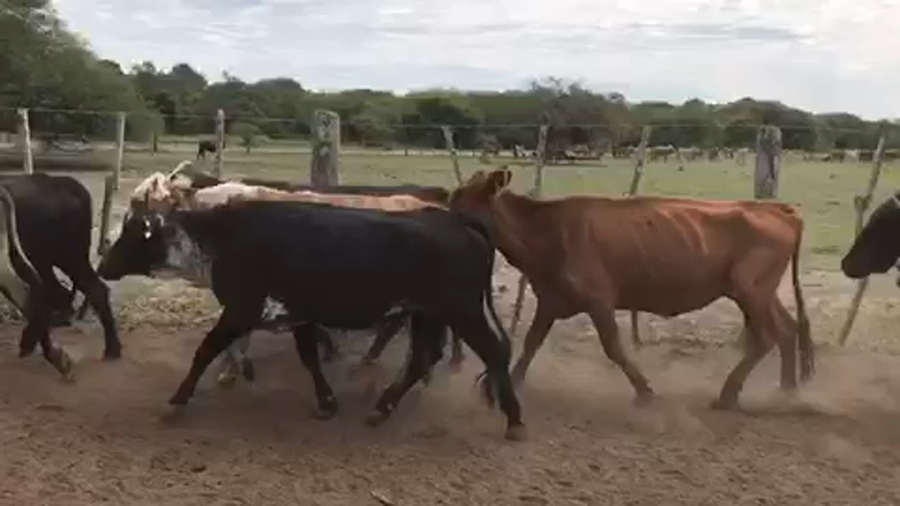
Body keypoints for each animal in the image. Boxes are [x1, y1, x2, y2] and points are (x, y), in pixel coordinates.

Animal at [96, 197, 526, 440]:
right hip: (426, 313)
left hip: (461, 310)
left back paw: (515, 420)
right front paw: (327, 402)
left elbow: (206, 350)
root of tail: (453, 220)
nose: (102, 266)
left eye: (131, 234)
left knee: (493, 352)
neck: (223, 239)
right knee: (424, 357)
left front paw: (177, 400)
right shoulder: (298, 315)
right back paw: (382, 407)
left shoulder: (242, 310)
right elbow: (308, 357)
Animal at [448, 168, 814, 410]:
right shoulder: (550, 299)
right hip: (761, 292)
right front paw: (510, 383)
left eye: (461, 207)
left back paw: (729, 394)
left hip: (749, 289)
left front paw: (645, 391)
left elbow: (613, 347)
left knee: (767, 337)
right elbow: (531, 343)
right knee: (788, 330)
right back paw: (786, 391)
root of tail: (776, 209)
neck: (548, 232)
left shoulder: (598, 300)